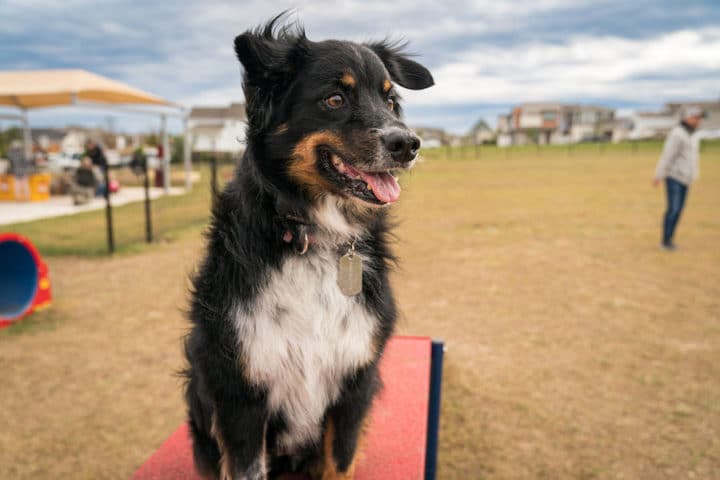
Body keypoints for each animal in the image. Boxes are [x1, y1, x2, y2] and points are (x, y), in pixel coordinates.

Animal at [184, 15, 434, 480]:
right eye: (335, 98)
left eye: (391, 101)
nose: (408, 144)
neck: (310, 235)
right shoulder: (239, 394)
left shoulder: (355, 383)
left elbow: (341, 460)